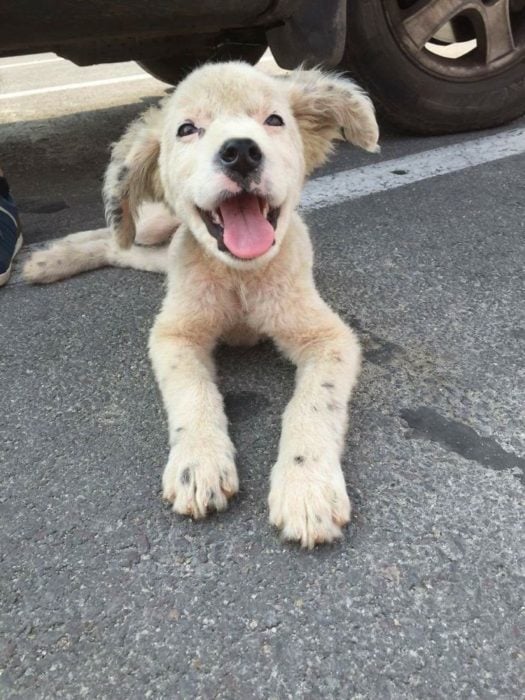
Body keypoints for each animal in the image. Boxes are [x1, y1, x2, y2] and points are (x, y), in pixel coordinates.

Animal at [24, 63, 378, 548]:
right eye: (187, 129)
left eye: (274, 120)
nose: (241, 152)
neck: (239, 276)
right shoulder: (174, 335)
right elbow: (193, 392)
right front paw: (199, 464)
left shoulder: (329, 337)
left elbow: (312, 404)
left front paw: (307, 488)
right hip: (152, 224)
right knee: (112, 236)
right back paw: (48, 259)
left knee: (121, 250)